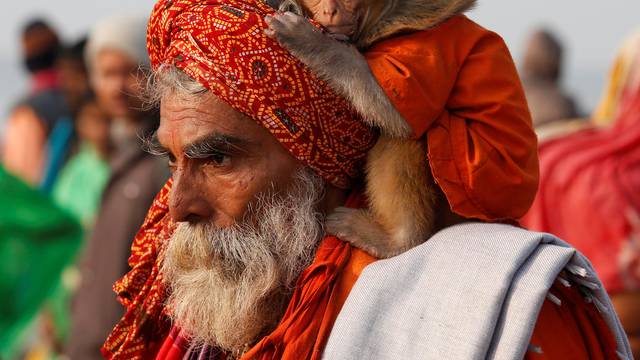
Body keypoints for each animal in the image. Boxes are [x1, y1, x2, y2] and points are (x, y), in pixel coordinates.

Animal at [264, 0, 480, 258]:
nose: (329, 12)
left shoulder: (432, 44)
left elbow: (394, 113)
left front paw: (308, 40)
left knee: (406, 135)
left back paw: (395, 239)